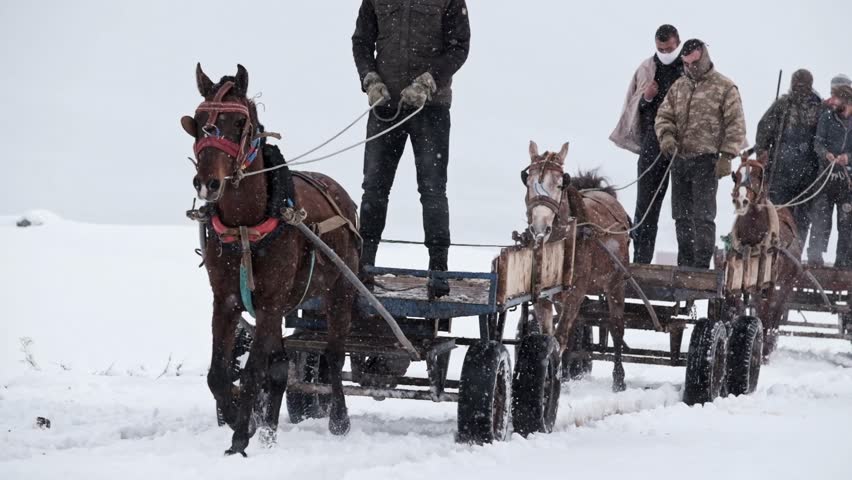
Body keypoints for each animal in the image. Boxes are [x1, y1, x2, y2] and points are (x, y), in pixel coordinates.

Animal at [181, 64, 360, 455]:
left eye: (238, 122)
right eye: (198, 121)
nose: (207, 183)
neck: (245, 226)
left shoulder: (268, 302)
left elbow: (252, 372)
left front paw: (239, 436)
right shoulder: (227, 300)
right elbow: (219, 375)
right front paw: (241, 420)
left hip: (340, 290)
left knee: (334, 355)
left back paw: (339, 420)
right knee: (279, 366)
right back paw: (269, 431)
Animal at [522, 141, 632, 391]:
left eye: (560, 183)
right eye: (528, 181)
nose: (540, 228)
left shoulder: (576, 291)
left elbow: (560, 337)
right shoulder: (545, 295)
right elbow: (550, 334)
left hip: (616, 283)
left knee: (616, 327)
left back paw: (619, 379)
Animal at [730, 152, 802, 359]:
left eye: (758, 175)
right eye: (736, 176)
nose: (741, 201)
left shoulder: (770, 282)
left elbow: (769, 311)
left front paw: (763, 349)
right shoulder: (750, 280)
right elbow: (755, 308)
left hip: (789, 281)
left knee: (777, 310)